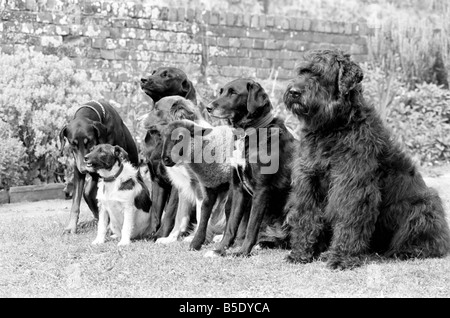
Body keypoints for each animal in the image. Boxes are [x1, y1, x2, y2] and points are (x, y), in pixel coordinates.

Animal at [284, 49, 450, 268]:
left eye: (320, 74)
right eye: (302, 71)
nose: (294, 91)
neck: (331, 126)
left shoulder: (352, 184)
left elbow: (348, 219)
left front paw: (340, 257)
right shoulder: (308, 179)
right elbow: (306, 216)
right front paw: (301, 252)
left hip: (425, 205)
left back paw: (409, 250)